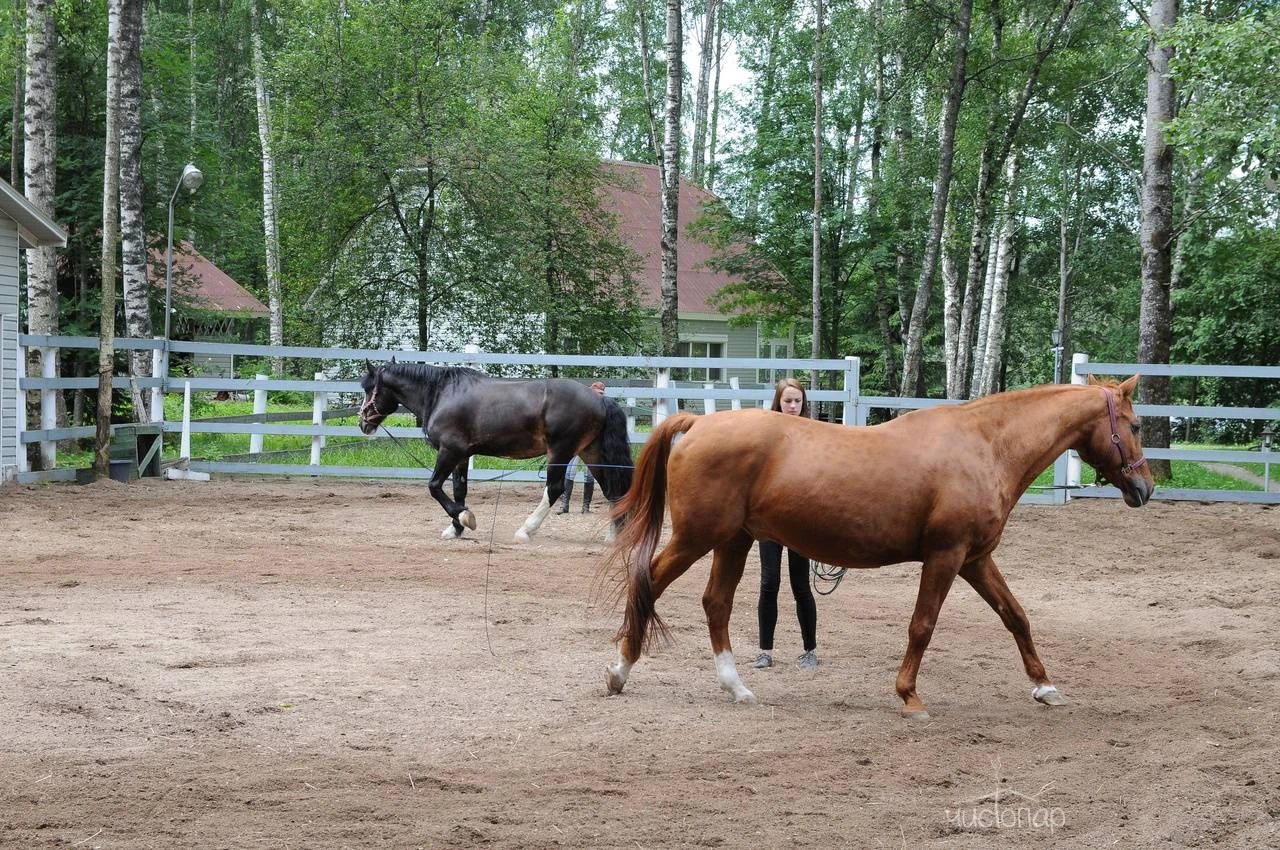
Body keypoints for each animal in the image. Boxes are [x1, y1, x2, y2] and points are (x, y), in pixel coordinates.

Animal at [358, 360, 637, 540]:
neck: (442, 394)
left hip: (561, 452)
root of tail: (600, 398)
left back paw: (526, 530)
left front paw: (464, 518)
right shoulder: (462, 455)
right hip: (591, 452)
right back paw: (614, 536)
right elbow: (459, 489)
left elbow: (434, 487)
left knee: (555, 489)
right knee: (612, 490)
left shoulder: (449, 450)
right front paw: (456, 528)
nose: (363, 423)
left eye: (368, 388)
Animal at [604, 376, 1157, 711]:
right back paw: (619, 671)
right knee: (648, 582)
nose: (1145, 488)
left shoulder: (976, 559)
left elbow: (1015, 616)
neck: (984, 445)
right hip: (697, 538)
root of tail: (699, 422)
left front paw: (1045, 687)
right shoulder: (946, 556)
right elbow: (922, 626)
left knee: (715, 603)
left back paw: (737, 686)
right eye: (1133, 425)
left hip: (733, 542)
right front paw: (909, 697)